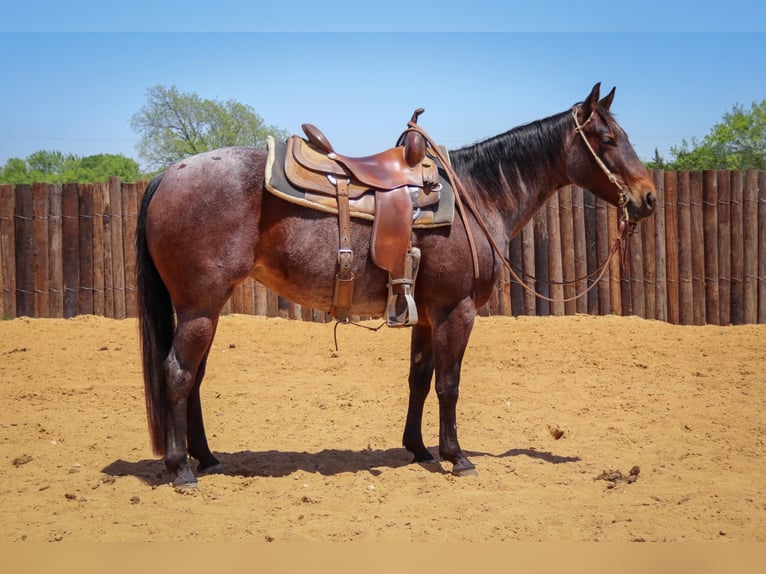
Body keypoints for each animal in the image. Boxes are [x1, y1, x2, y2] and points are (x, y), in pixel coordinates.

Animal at [135, 83, 656, 488]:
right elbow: (449, 383)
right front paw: (456, 456)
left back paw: (208, 458)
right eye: (608, 138)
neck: (476, 195)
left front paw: (419, 448)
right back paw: (182, 469)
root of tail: (167, 175)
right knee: (178, 373)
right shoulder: (457, 310)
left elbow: (419, 379)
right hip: (200, 307)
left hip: (205, 308)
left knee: (195, 376)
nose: (648, 198)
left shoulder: (426, 314)